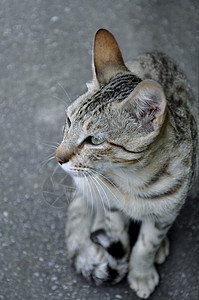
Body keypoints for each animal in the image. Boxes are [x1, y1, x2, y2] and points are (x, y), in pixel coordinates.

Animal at [54, 27, 197, 298]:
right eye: (68, 121)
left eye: (95, 140)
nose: (59, 157)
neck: (133, 179)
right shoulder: (112, 206)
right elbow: (117, 231)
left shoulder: (168, 211)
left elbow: (146, 245)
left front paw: (141, 271)